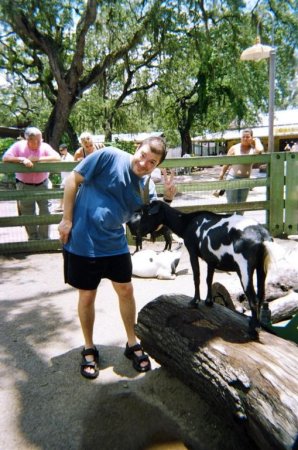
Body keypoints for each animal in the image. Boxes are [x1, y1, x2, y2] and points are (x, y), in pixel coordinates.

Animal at [137, 201, 274, 338]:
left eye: (147, 213)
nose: (138, 231)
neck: (187, 222)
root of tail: (262, 236)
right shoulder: (211, 260)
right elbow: (209, 279)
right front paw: (208, 301)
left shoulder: (192, 251)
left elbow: (197, 276)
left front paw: (194, 301)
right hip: (262, 267)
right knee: (261, 294)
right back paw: (258, 325)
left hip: (244, 267)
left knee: (253, 298)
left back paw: (253, 330)